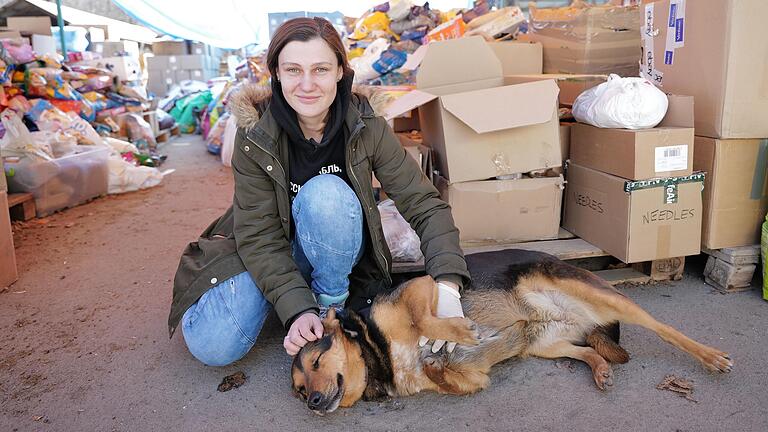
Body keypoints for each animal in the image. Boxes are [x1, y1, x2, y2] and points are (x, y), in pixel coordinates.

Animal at [290, 250, 732, 416]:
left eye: (317, 359)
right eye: (298, 389)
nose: (312, 402)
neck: (376, 353)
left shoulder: (423, 286)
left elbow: (430, 320)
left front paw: (457, 330)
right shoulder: (473, 378)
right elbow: (445, 375)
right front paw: (435, 362)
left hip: (598, 295)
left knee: (664, 327)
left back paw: (711, 356)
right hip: (545, 343)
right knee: (587, 351)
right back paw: (600, 368)